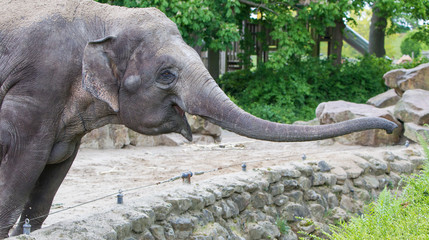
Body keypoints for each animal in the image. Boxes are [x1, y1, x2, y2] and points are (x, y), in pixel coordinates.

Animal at [0, 0, 396, 236]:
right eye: (166, 75)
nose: (393, 126)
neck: (107, 15)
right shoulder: (37, 87)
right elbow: (22, 167)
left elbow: (52, 175)